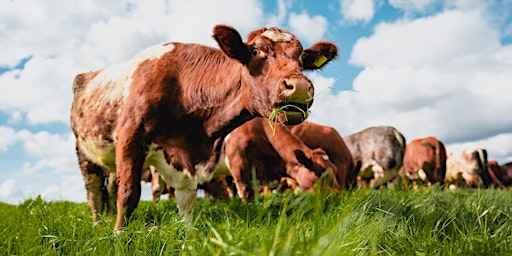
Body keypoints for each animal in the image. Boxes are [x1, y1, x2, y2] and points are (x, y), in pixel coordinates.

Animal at [70, 25, 338, 231]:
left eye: (302, 58)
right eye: (255, 50)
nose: (299, 86)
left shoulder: (189, 162)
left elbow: (187, 205)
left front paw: (188, 235)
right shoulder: (131, 137)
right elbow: (128, 195)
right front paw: (118, 235)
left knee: (110, 186)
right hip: (84, 151)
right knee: (95, 191)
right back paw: (98, 224)